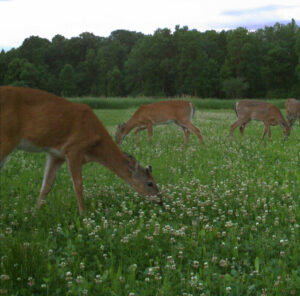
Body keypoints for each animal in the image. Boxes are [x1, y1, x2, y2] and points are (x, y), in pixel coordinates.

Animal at [0, 86, 162, 215]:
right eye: (150, 183)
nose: (160, 200)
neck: (94, 149)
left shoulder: (56, 154)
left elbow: (46, 185)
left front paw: (36, 213)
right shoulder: (73, 148)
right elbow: (78, 185)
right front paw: (83, 214)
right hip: (6, 138)